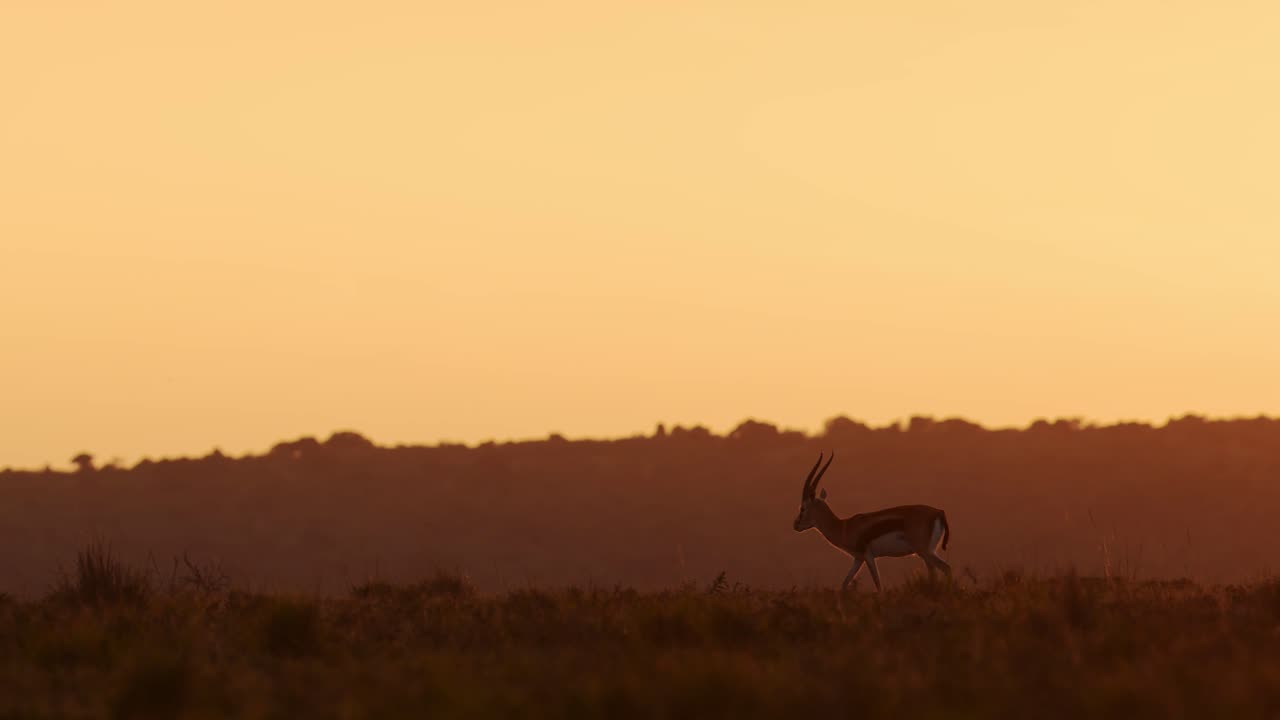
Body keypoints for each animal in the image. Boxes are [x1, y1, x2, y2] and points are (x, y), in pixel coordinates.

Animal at [793, 452, 951, 592]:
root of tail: (938, 512)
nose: (796, 525)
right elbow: (844, 585)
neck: (845, 527)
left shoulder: (868, 556)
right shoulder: (858, 559)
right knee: (936, 572)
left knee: (944, 569)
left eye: (802, 508)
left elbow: (878, 585)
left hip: (924, 551)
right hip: (927, 552)